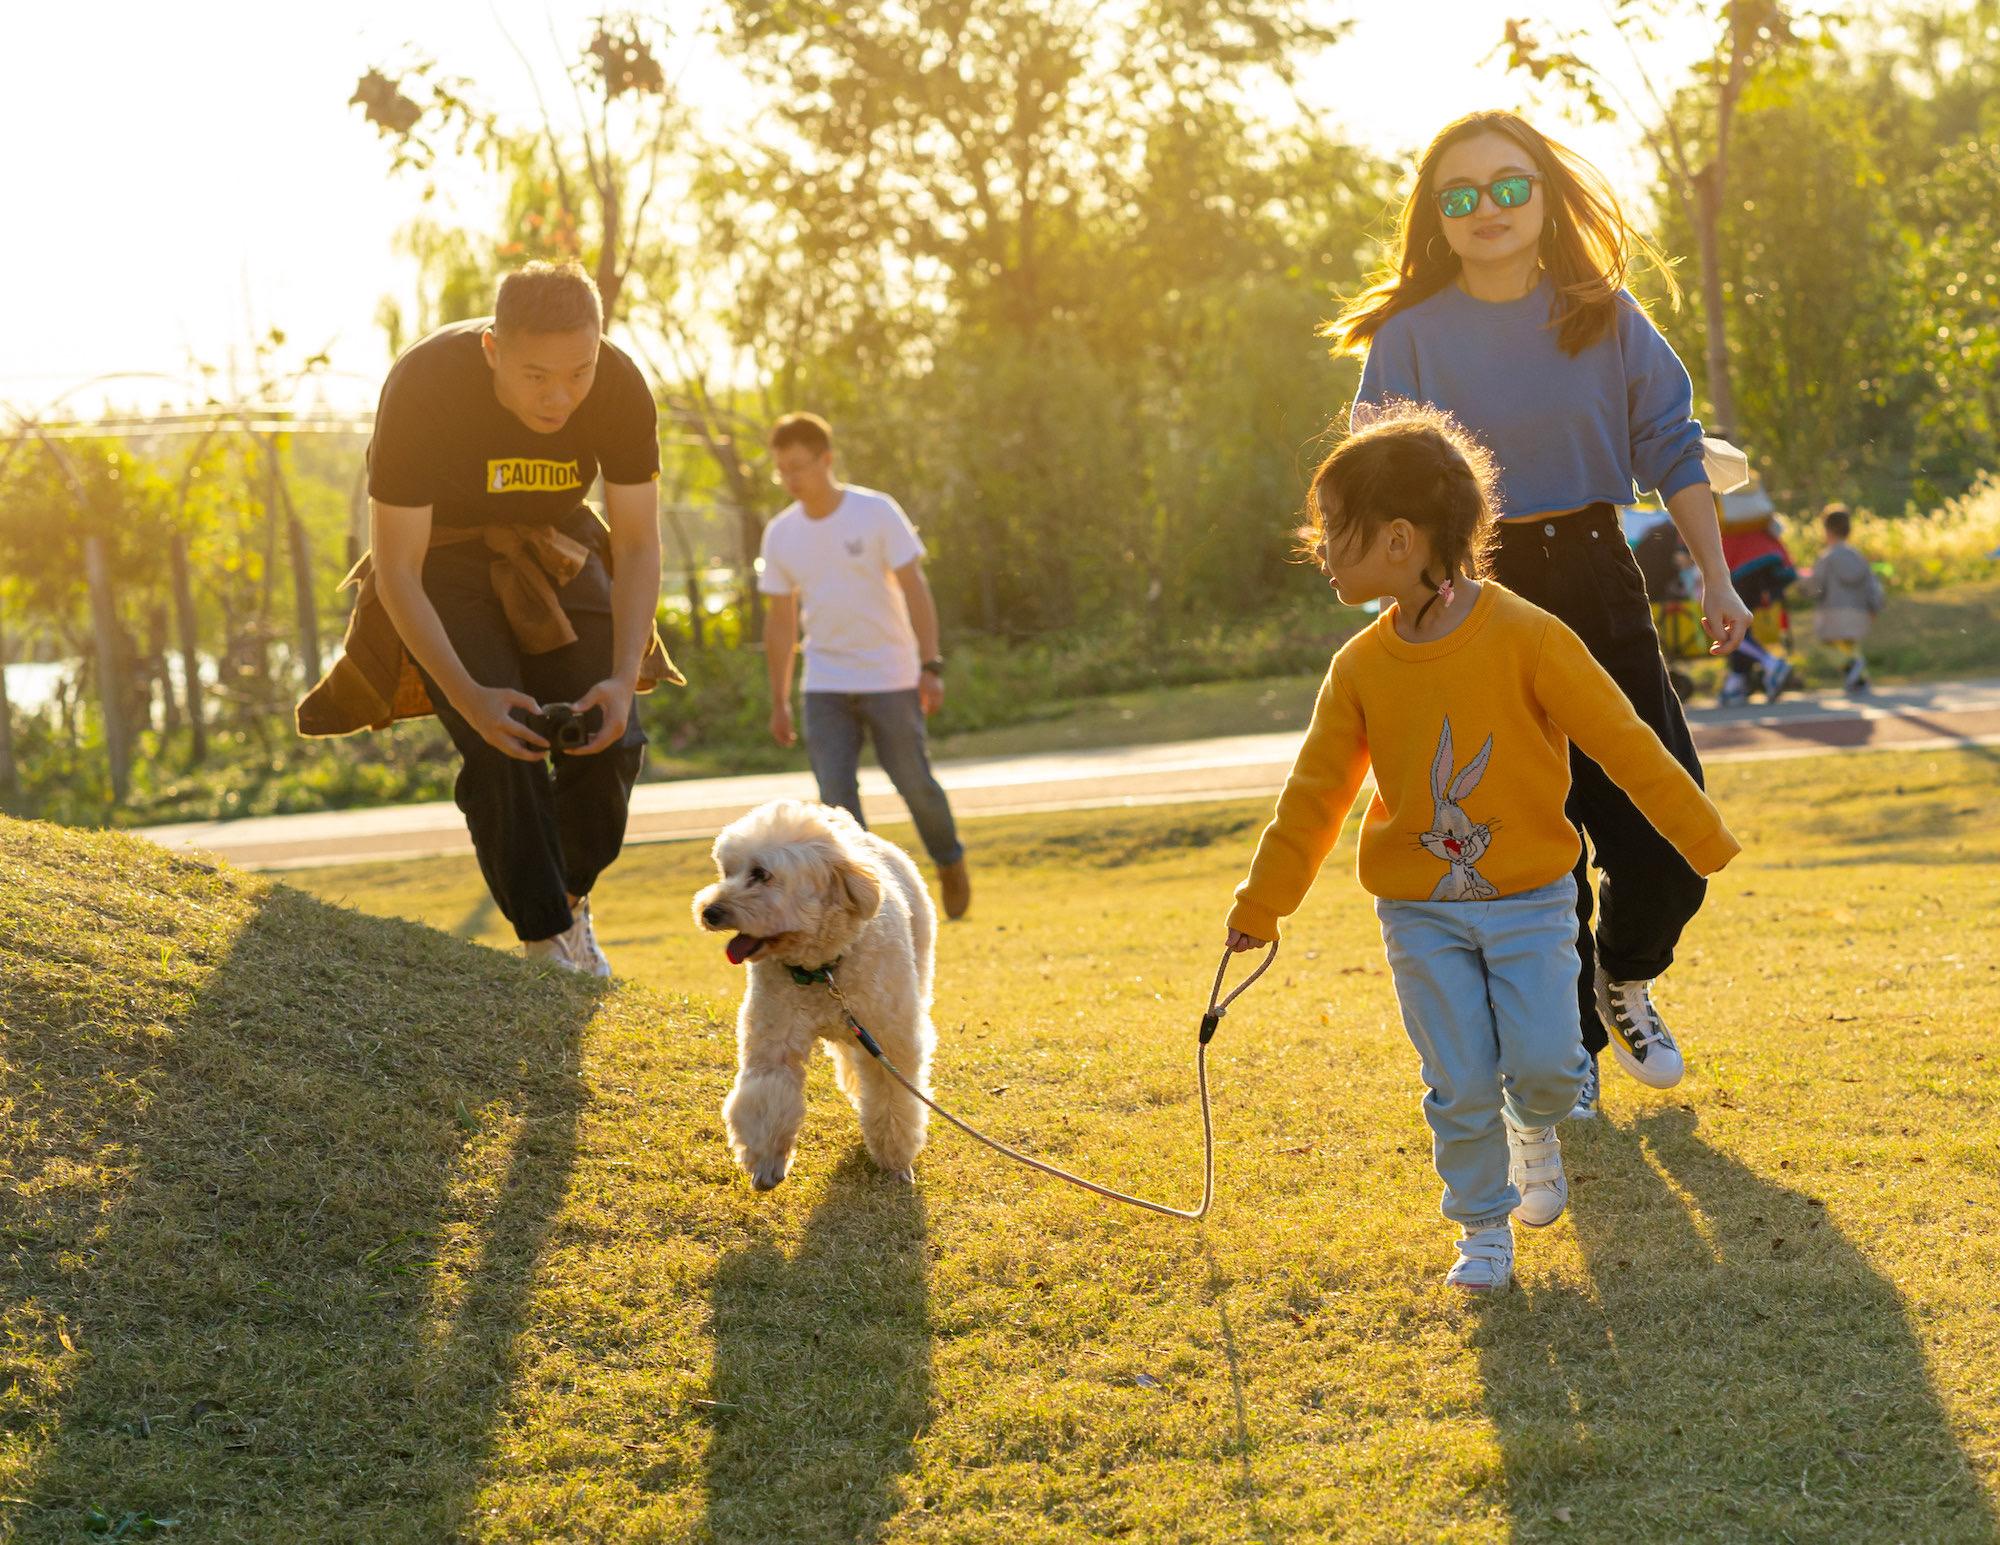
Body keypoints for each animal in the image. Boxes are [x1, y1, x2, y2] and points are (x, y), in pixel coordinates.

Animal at [692, 804, 932, 1192]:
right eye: (728, 871)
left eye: (761, 874)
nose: (709, 912)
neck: (823, 969)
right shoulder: (774, 1041)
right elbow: (768, 1092)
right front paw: (767, 1164)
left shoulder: (888, 1041)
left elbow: (893, 1101)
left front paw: (896, 1162)